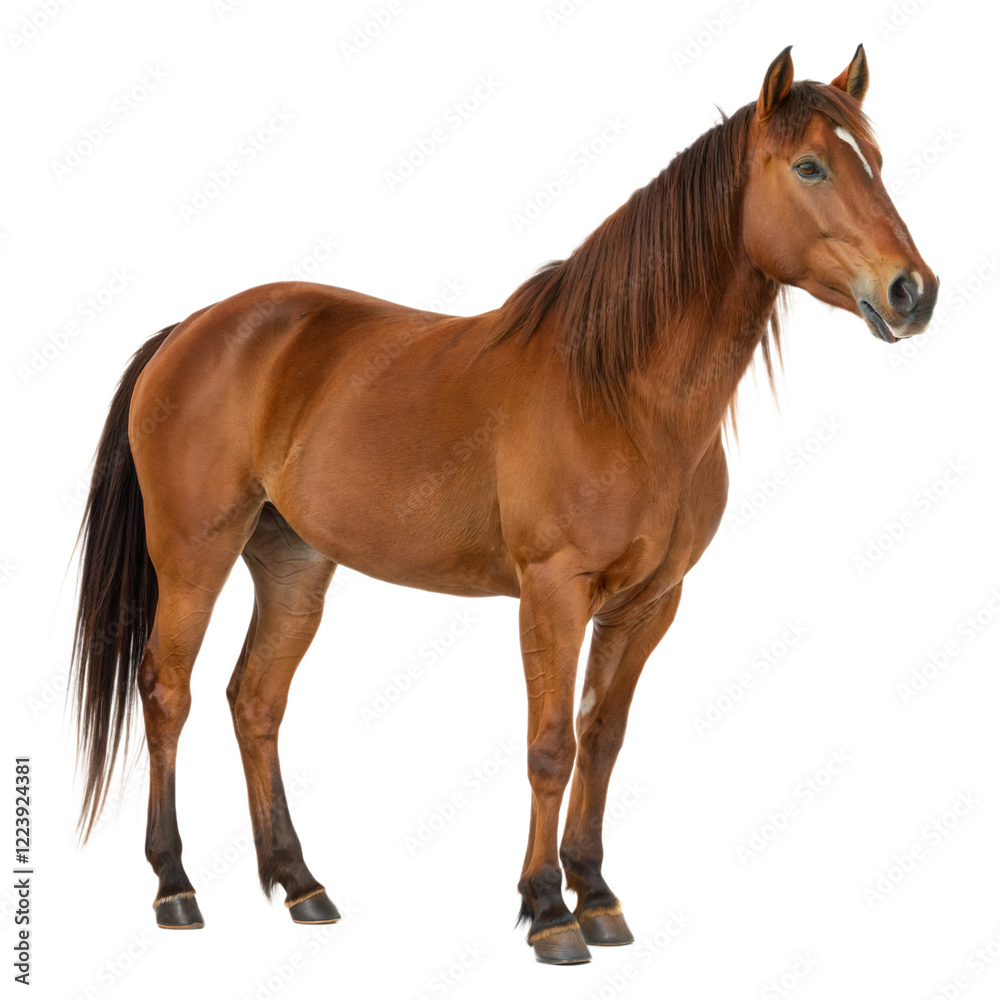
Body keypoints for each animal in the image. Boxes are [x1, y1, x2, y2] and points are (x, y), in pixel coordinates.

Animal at [69, 44, 937, 965]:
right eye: (810, 166)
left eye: (875, 162)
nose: (913, 292)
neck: (618, 391)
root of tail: (193, 328)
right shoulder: (553, 592)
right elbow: (551, 747)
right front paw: (548, 910)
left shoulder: (649, 603)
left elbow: (601, 740)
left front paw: (597, 894)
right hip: (194, 555)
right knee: (168, 692)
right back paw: (175, 886)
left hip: (293, 563)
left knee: (256, 701)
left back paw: (301, 883)